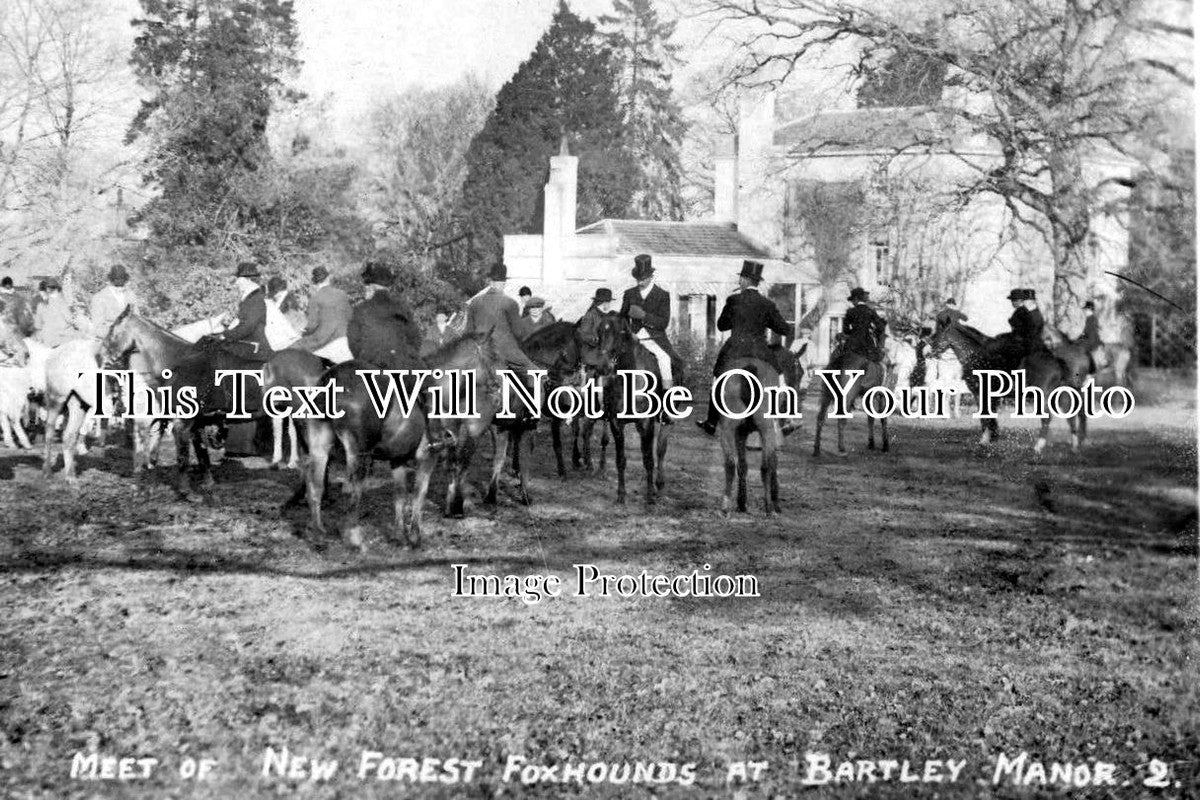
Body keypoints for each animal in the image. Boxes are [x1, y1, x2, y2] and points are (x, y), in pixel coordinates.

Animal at [715, 357, 782, 520]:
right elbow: (773, 462)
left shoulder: (740, 434)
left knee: (730, 464)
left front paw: (742, 502)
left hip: (727, 429)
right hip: (767, 429)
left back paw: (725, 507)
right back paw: (769, 508)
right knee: (766, 466)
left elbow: (742, 466)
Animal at [926, 321, 1089, 453]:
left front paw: (984, 440)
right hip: (1062, 395)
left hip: (1044, 397)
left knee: (1047, 419)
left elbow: (985, 417)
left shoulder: (980, 394)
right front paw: (991, 438)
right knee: (1071, 417)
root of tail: (1057, 362)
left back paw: (1038, 447)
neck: (976, 357)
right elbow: (988, 417)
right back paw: (1074, 446)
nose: (928, 352)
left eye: (938, 334)